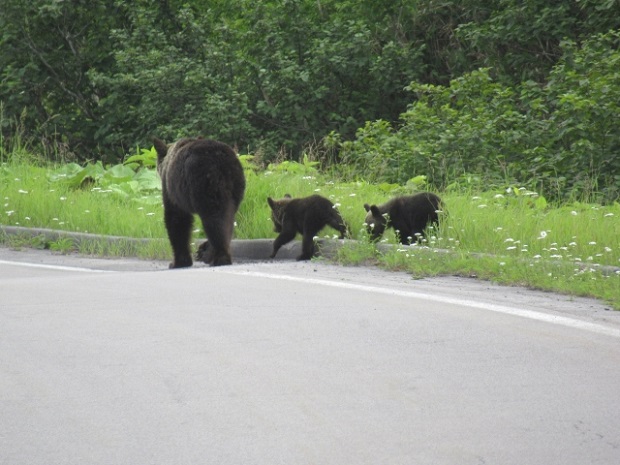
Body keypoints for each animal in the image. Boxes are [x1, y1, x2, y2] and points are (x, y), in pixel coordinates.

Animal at [153, 136, 245, 266]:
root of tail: (220, 159)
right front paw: (201, 251)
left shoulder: (172, 191)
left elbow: (177, 219)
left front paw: (178, 262)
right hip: (236, 186)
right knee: (228, 218)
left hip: (204, 183)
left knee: (215, 218)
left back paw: (220, 258)